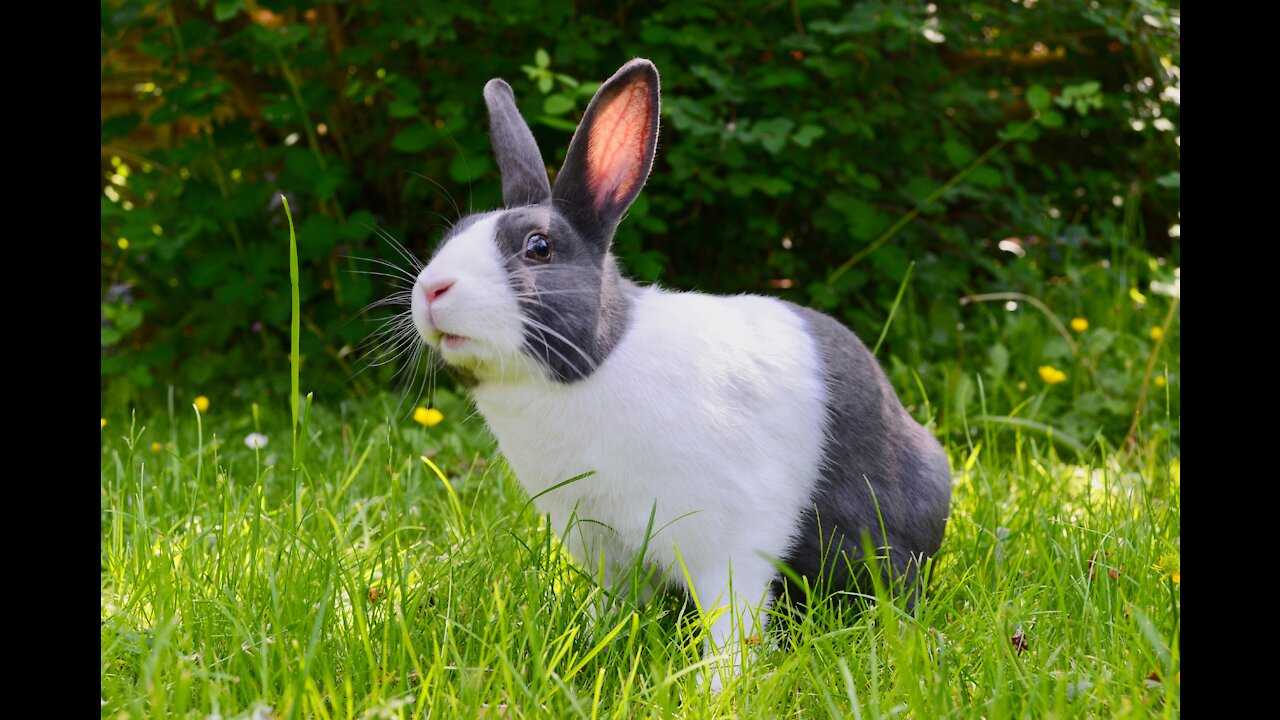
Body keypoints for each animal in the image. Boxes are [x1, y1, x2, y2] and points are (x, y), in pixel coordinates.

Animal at [409, 58, 952, 686]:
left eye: (538, 247)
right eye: (453, 235)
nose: (431, 290)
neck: (595, 366)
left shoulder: (728, 541)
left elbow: (732, 621)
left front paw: (719, 688)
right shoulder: (601, 543)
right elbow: (611, 607)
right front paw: (585, 648)